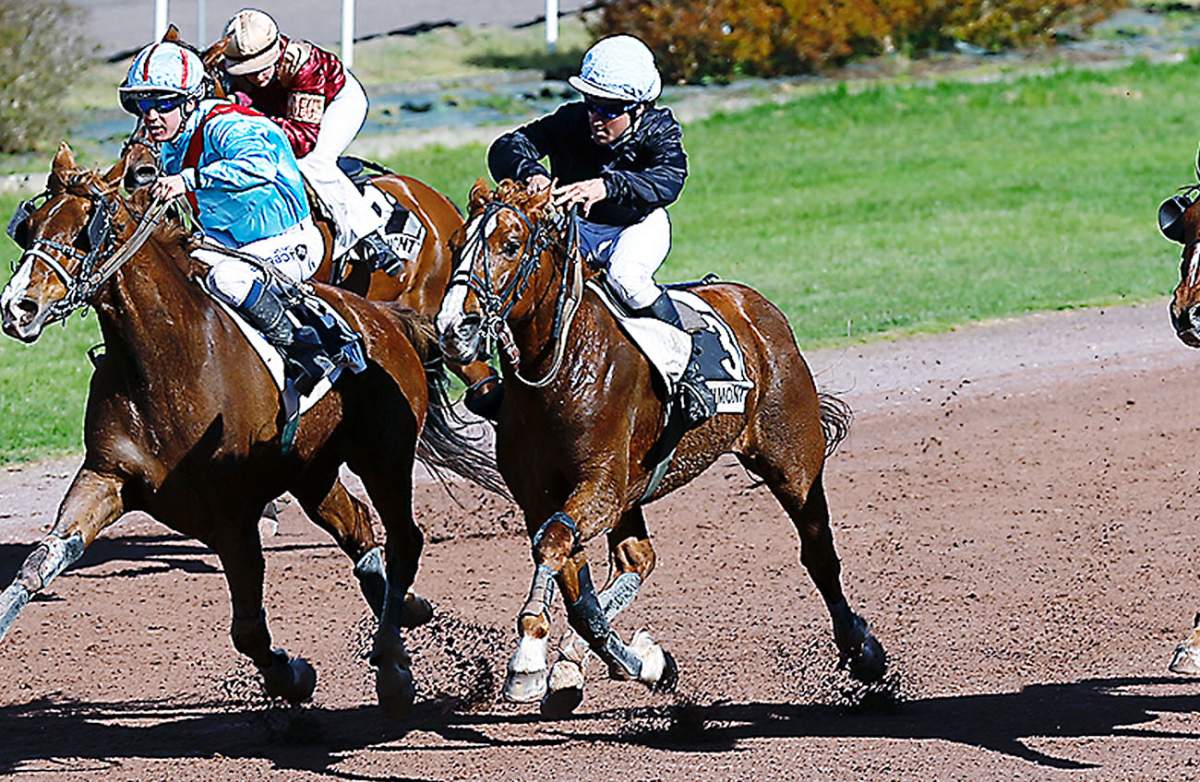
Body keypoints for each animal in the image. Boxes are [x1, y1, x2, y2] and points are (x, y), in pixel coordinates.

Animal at [0, 144, 502, 717]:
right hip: (313, 474)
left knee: (404, 539)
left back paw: (393, 665)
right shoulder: (107, 477)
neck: (169, 363)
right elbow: (38, 563)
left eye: (90, 229)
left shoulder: (233, 517)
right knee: (358, 527)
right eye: (31, 225)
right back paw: (404, 620)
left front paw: (293, 676)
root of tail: (387, 318)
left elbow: (247, 630)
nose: (18, 307)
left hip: (384, 457)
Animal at [435, 180, 887, 714]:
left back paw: (862, 651)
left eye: (510, 244)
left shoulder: (601, 487)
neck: (563, 366)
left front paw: (528, 661)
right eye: (456, 244)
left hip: (791, 462)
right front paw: (638, 662)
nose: (453, 329)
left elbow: (555, 545)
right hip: (637, 495)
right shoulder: (543, 496)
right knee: (638, 559)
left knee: (818, 552)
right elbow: (576, 586)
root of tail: (754, 306)